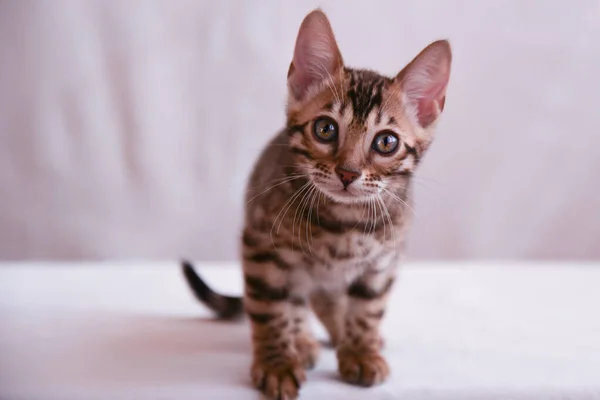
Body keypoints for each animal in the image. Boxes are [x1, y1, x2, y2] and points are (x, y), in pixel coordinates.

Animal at [183, 7, 450, 400]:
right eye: (325, 129)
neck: (345, 222)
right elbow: (270, 309)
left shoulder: (383, 263)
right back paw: (303, 342)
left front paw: (360, 350)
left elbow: (367, 310)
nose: (348, 172)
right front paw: (277, 362)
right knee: (296, 301)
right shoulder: (261, 245)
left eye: (386, 142)